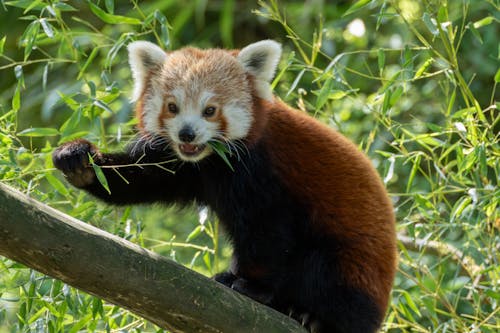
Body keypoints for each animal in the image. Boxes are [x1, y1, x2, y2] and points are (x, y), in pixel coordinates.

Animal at [53, 40, 398, 330]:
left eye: (210, 110)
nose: (187, 133)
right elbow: (139, 180)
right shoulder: (183, 165)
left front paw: (250, 285)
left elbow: (268, 233)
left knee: (321, 272)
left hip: (352, 268)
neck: (211, 160)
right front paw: (80, 161)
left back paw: (309, 315)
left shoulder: (261, 172)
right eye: (172, 107)